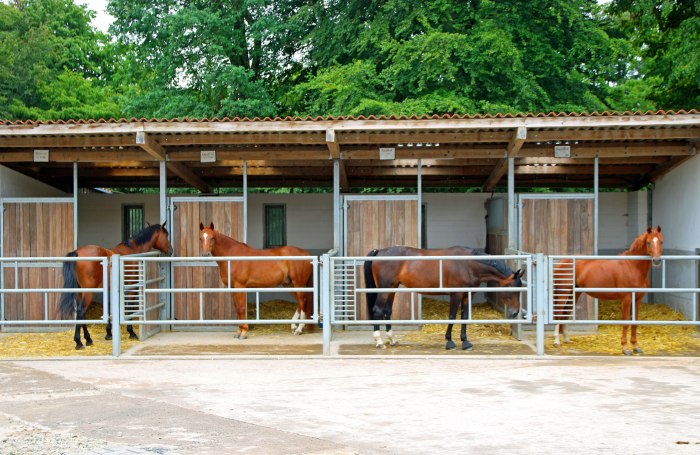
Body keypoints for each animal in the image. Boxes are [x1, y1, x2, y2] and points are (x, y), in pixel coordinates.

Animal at [364, 248, 524, 350]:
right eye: (512, 289)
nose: (515, 313)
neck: (467, 264)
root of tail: (379, 252)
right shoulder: (456, 295)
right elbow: (452, 316)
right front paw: (449, 342)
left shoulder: (467, 295)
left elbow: (464, 317)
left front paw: (465, 342)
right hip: (384, 290)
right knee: (377, 310)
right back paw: (379, 341)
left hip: (392, 288)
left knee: (387, 311)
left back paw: (392, 339)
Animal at [552, 225, 660, 356]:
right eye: (648, 242)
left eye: (661, 241)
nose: (657, 261)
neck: (632, 266)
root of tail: (562, 262)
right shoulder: (626, 299)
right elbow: (626, 322)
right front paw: (625, 348)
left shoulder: (637, 299)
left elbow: (635, 322)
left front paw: (636, 346)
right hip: (564, 292)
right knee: (558, 312)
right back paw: (556, 341)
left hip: (574, 293)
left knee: (566, 312)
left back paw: (567, 339)